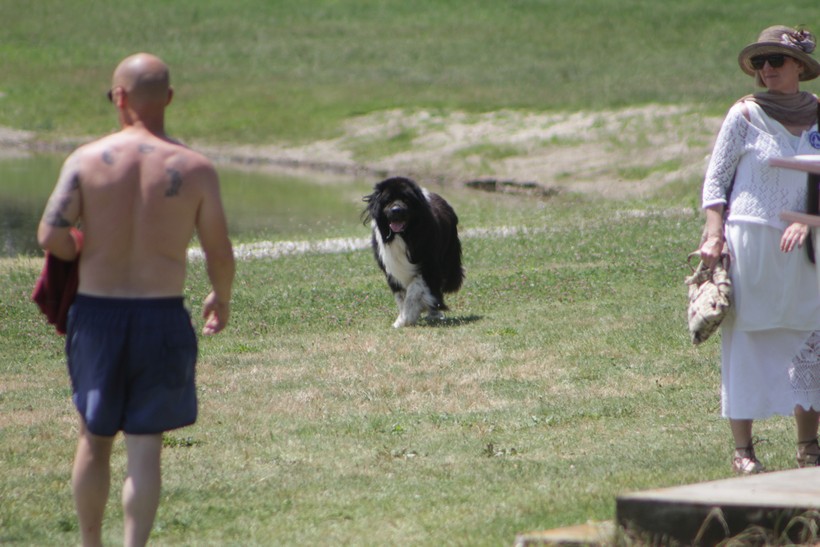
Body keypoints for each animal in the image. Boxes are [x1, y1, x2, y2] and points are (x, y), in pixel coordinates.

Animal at [362, 176, 464, 327]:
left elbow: (414, 290)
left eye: (406, 200)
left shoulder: (428, 265)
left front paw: (407, 317)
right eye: (388, 200)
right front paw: (402, 319)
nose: (396, 210)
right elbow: (401, 296)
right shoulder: (391, 270)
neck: (403, 236)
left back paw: (434, 313)